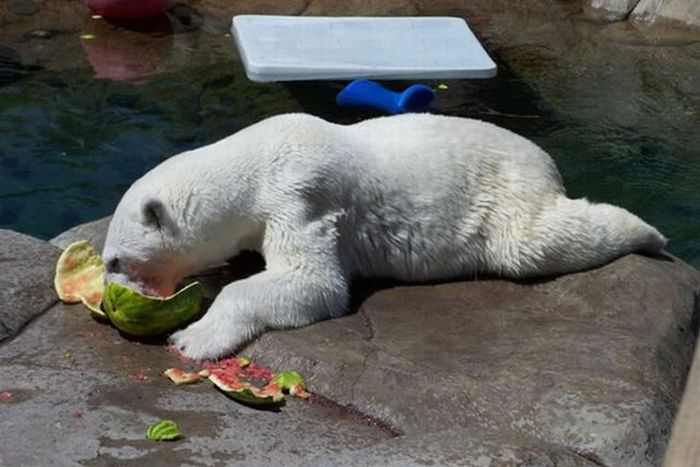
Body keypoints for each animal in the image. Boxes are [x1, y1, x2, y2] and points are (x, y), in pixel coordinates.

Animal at [104, 113, 668, 362]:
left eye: (113, 260)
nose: (113, 290)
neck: (255, 162)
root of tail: (546, 161)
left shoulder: (301, 196)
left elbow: (314, 282)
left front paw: (193, 337)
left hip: (507, 195)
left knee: (534, 243)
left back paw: (649, 233)